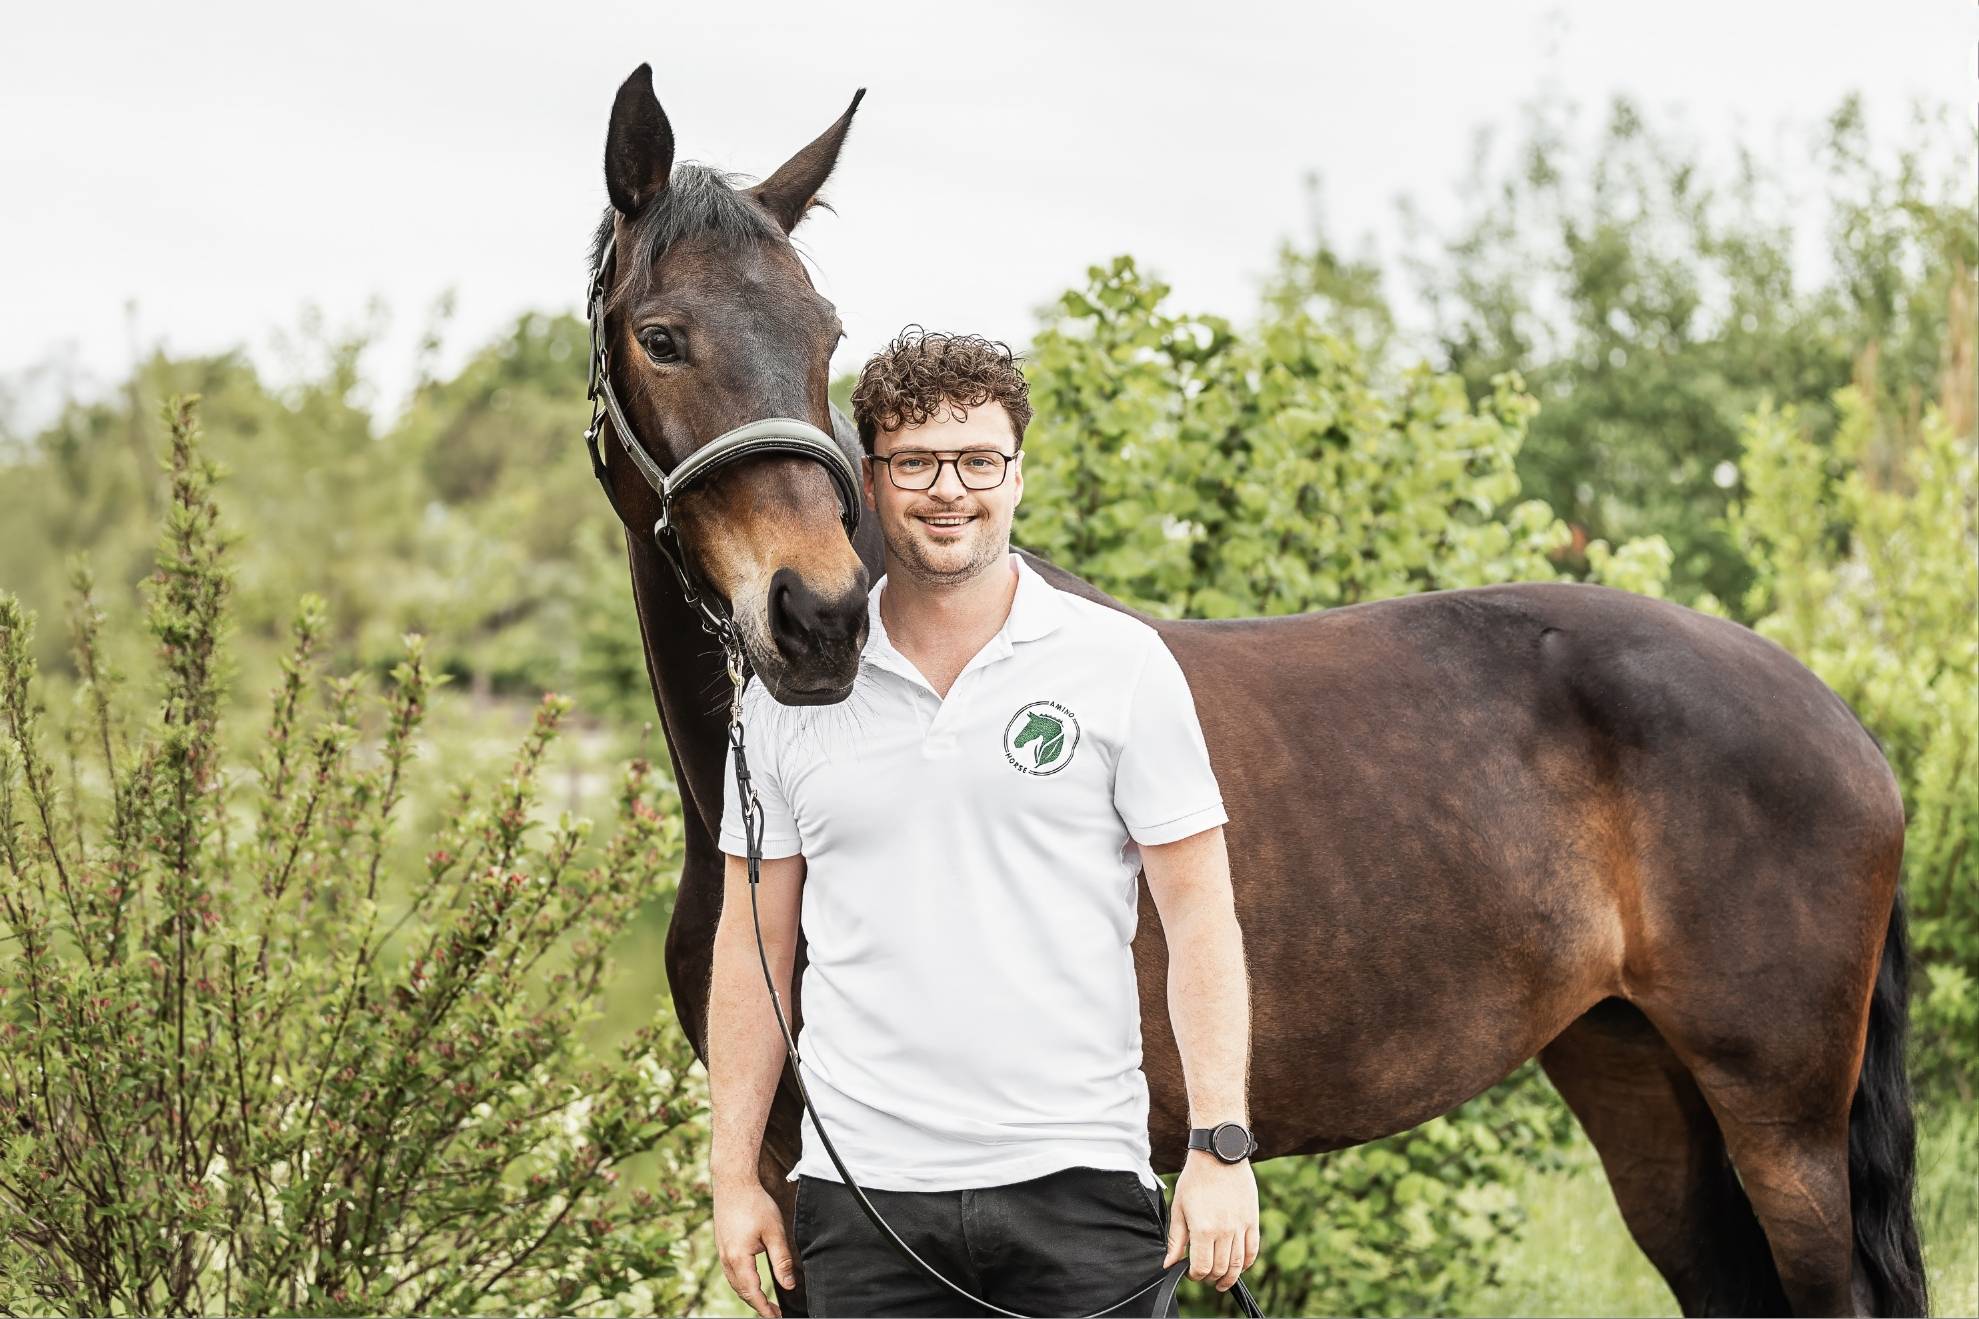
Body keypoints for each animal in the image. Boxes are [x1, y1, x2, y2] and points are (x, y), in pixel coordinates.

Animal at [584, 65, 1927, 1317]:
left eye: (823, 334)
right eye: (661, 335)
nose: (817, 619)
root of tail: (1840, 722)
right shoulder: (802, 1185)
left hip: (1780, 1122)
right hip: (1637, 1079)